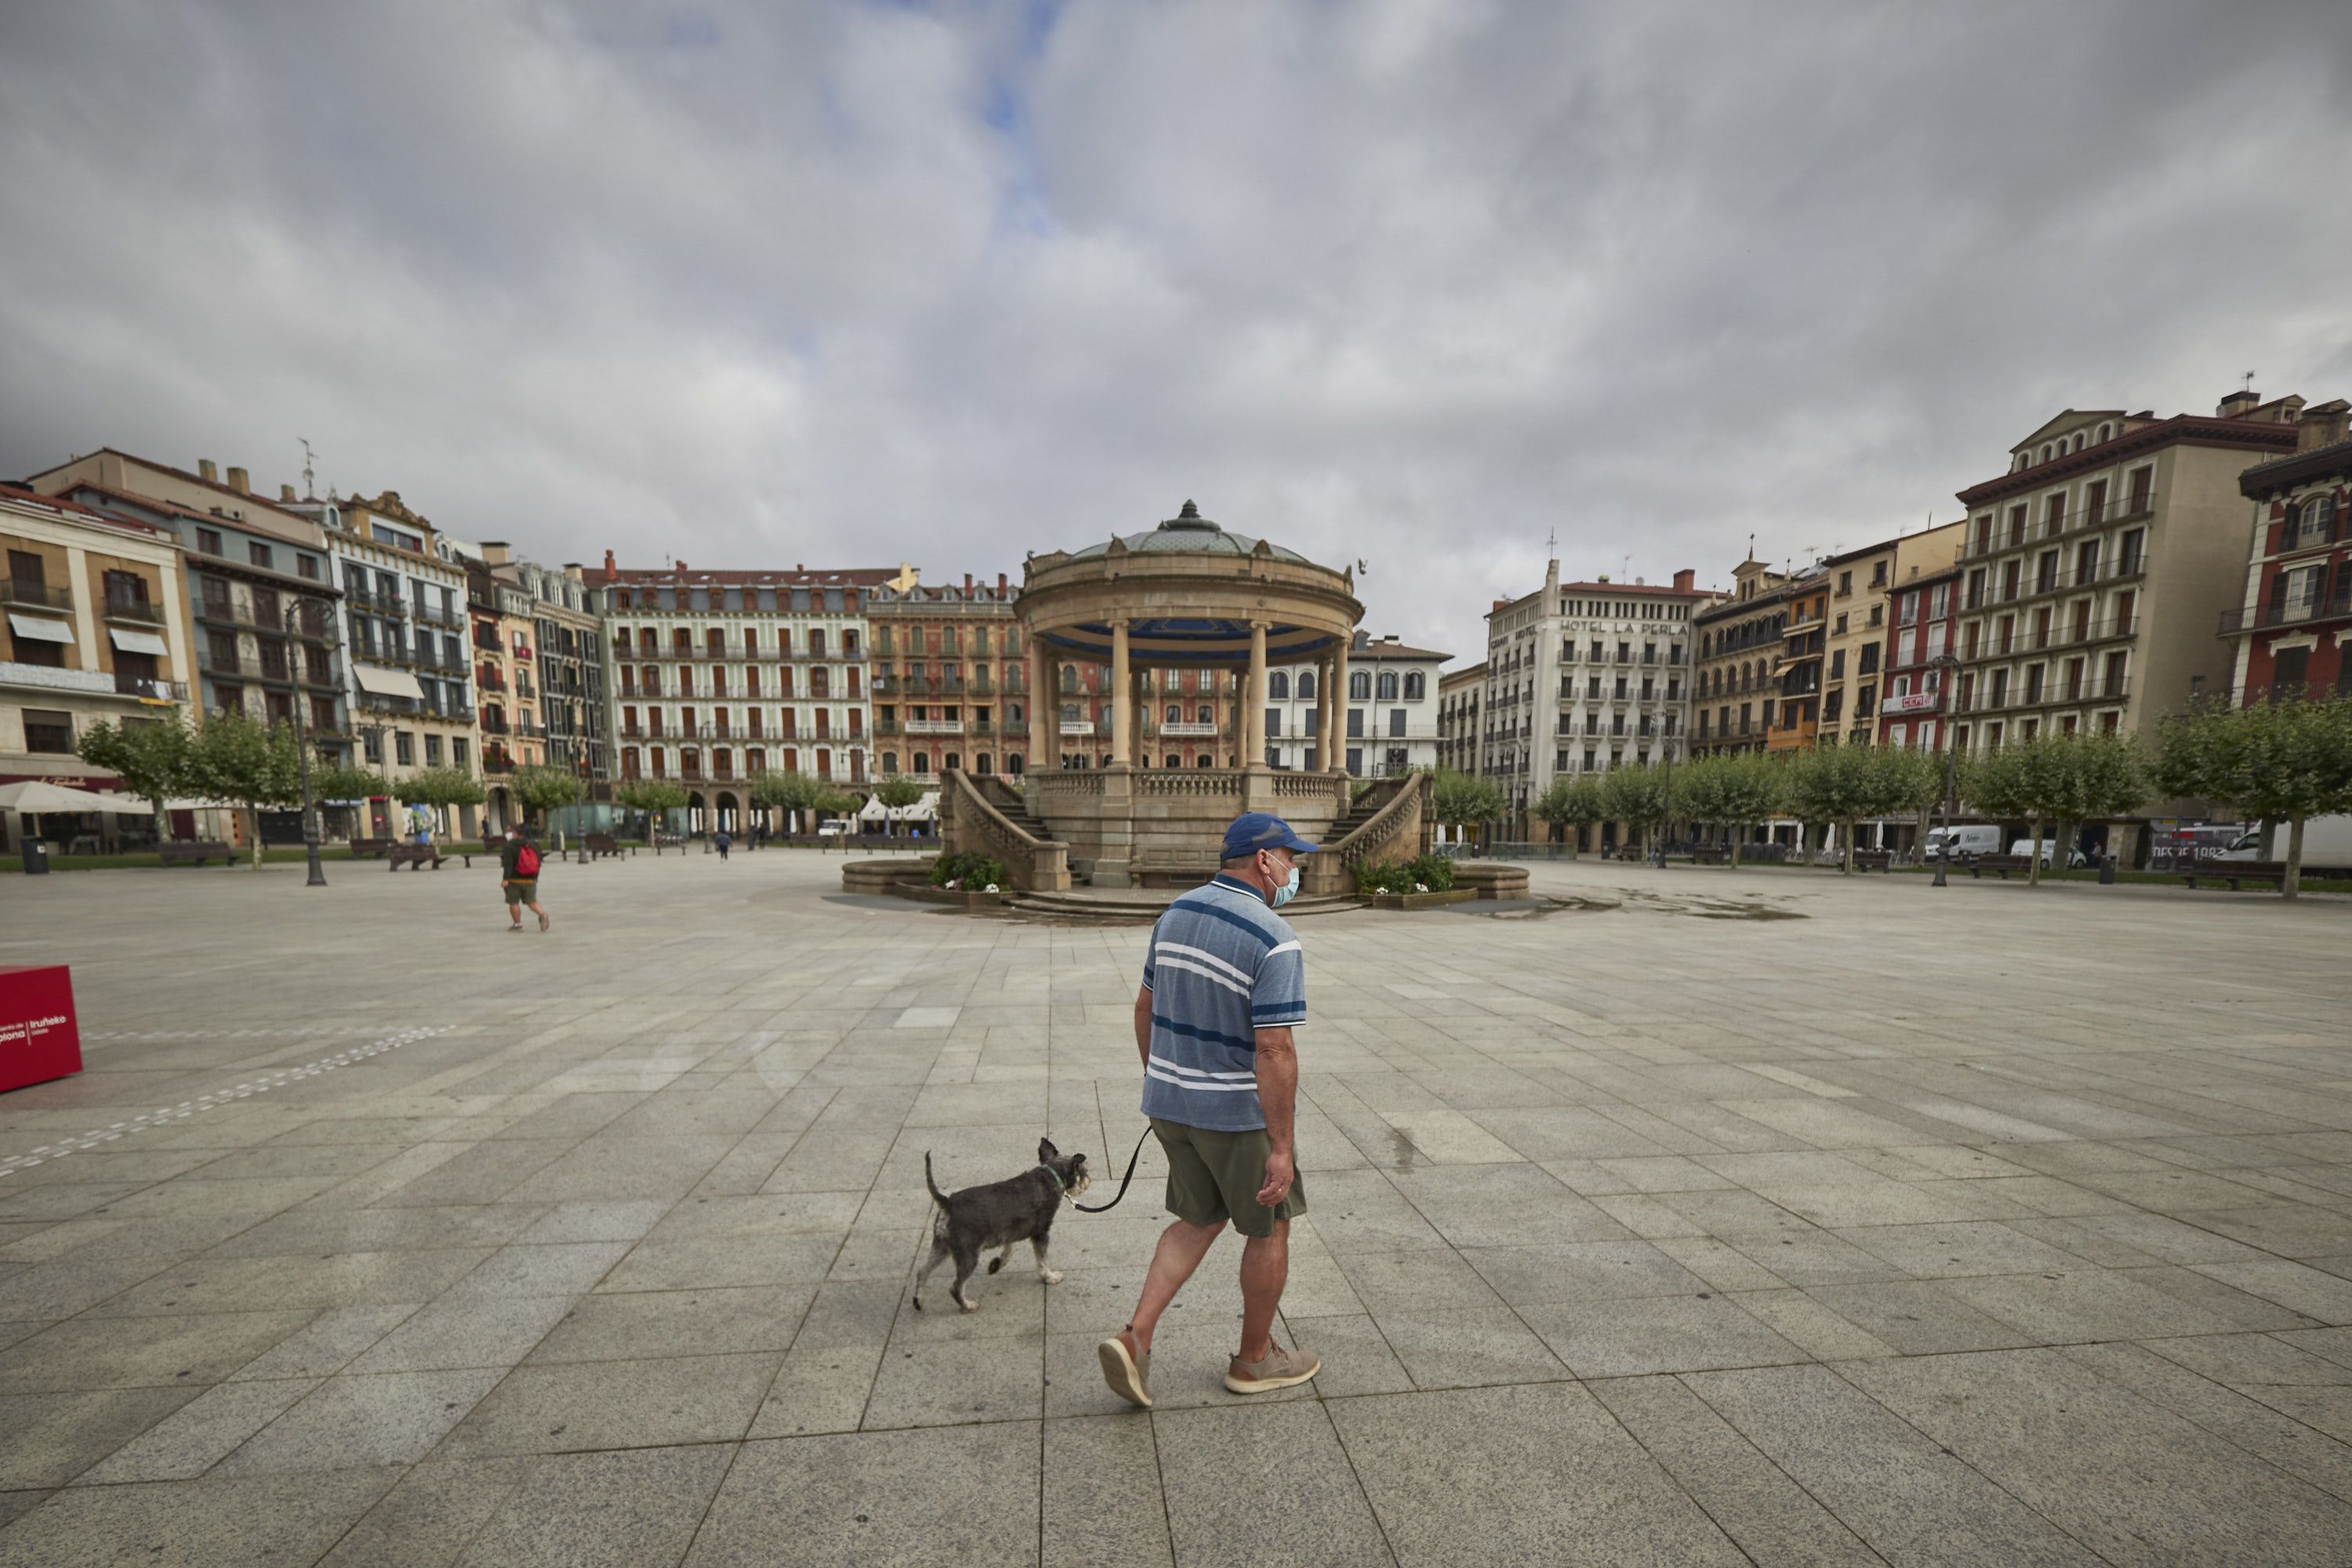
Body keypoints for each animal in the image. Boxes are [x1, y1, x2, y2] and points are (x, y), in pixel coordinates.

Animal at [922, 1142, 1096, 1316]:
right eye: (1084, 1171)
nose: (1089, 1180)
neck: (1051, 1177)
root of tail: (947, 1203)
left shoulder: (1009, 1230)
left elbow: (1009, 1251)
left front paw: (996, 1264)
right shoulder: (1040, 1233)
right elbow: (1042, 1260)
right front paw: (1050, 1277)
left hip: (942, 1247)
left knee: (922, 1271)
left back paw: (919, 1301)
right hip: (967, 1254)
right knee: (955, 1287)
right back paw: (968, 1306)